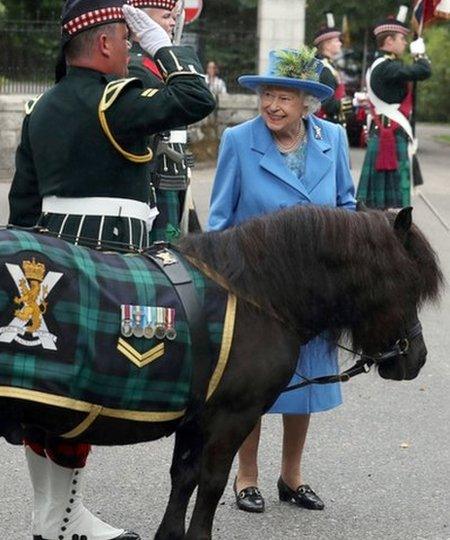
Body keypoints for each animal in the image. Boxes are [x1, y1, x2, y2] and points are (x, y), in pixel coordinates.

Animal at [0, 205, 442, 536]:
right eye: (409, 284)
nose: (416, 357)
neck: (258, 297)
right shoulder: (232, 417)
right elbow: (211, 482)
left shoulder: (197, 418)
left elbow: (184, 477)